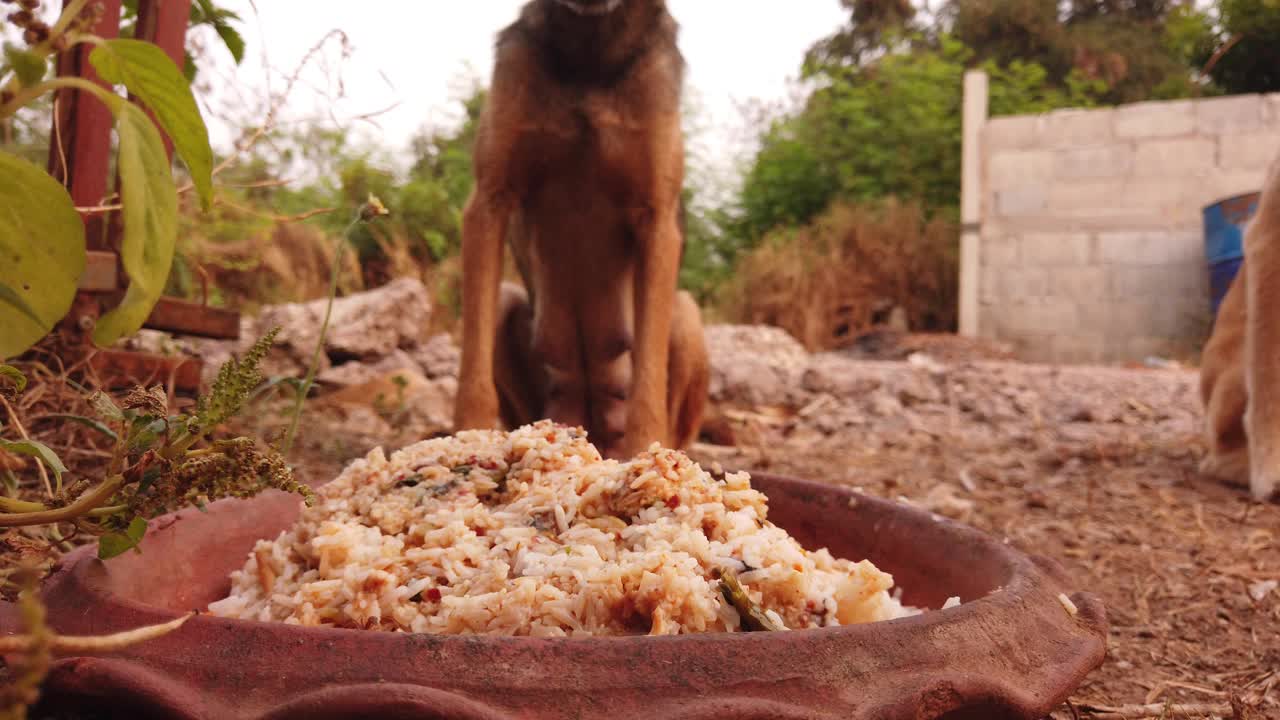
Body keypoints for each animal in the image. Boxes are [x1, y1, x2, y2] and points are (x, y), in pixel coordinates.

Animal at [450, 0, 711, 456]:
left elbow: (648, 386)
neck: (592, 50)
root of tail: (591, 428)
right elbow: (473, 376)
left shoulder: (657, 219)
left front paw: (648, 460)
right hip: (508, 310)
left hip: (685, 313)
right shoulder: (489, 200)